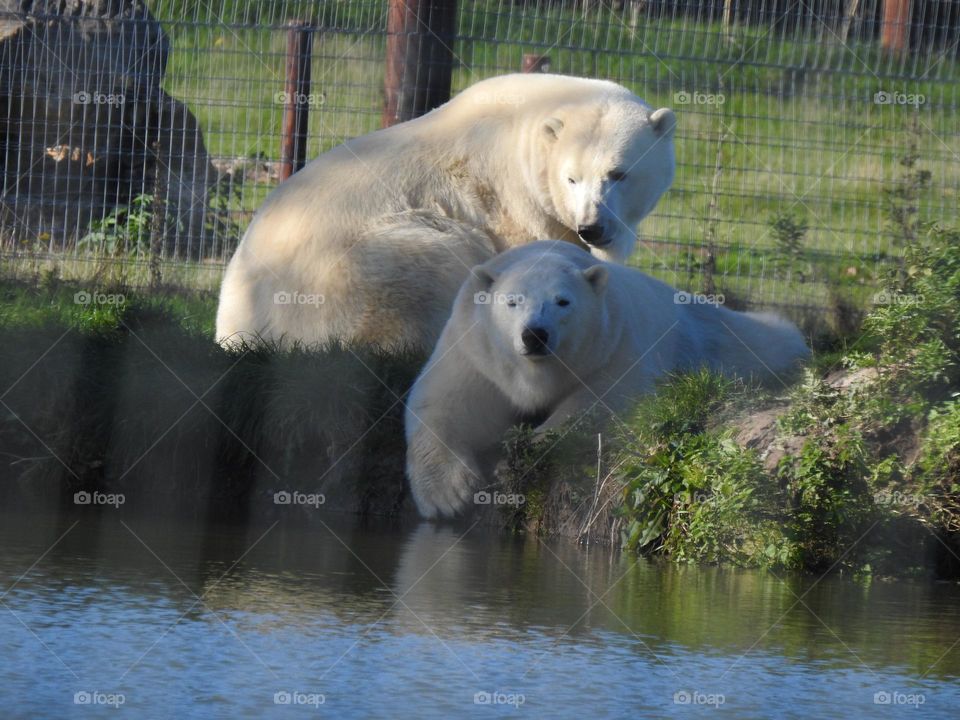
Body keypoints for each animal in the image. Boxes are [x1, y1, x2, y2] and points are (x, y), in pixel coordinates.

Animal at [215, 73, 677, 351]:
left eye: (619, 173)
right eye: (572, 178)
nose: (592, 228)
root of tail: (236, 326)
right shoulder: (514, 204)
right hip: (356, 273)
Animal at [405, 240, 811, 518]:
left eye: (563, 302)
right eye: (512, 301)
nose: (535, 335)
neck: (534, 372)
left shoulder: (613, 342)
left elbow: (606, 397)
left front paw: (531, 445)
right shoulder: (475, 351)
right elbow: (444, 403)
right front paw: (449, 495)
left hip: (710, 337)